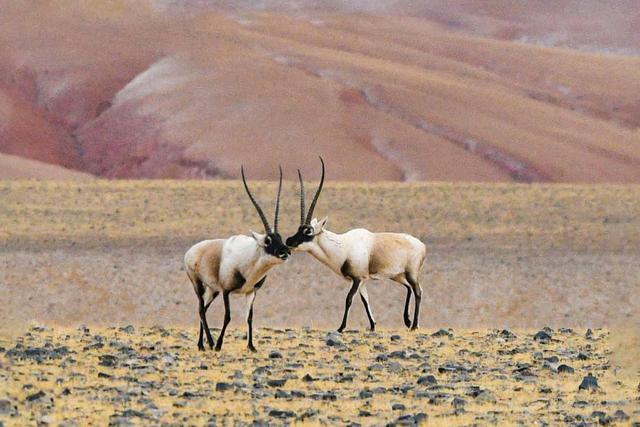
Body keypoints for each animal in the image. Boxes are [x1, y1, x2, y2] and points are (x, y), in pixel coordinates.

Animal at [184, 166, 292, 352]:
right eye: (268, 240)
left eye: (279, 237)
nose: (285, 252)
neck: (249, 262)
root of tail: (191, 251)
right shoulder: (226, 291)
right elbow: (228, 316)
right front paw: (219, 345)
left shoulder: (251, 292)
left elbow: (249, 317)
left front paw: (251, 346)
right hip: (198, 284)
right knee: (201, 309)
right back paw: (209, 343)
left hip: (213, 290)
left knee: (203, 308)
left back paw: (201, 344)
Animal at [284, 159, 424, 332]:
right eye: (298, 229)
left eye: (308, 231)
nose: (289, 241)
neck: (343, 247)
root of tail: (421, 244)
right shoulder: (362, 280)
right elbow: (365, 300)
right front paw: (372, 326)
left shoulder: (356, 279)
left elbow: (349, 299)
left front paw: (341, 327)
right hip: (397, 275)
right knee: (409, 288)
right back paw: (407, 321)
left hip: (411, 273)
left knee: (418, 291)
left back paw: (414, 325)